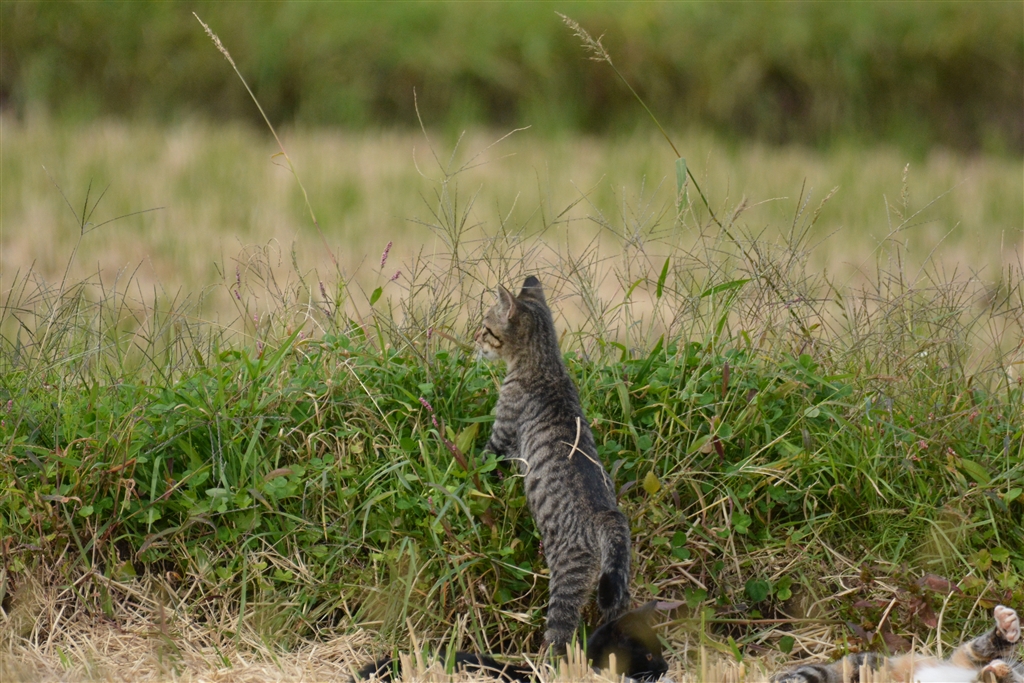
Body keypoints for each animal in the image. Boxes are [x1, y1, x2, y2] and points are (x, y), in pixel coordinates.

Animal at [475, 275, 632, 649]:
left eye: (486, 329)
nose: (474, 340)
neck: (547, 365)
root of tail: (607, 517)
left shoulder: (501, 437)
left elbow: (480, 464)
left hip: (566, 583)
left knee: (559, 639)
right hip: (618, 591)